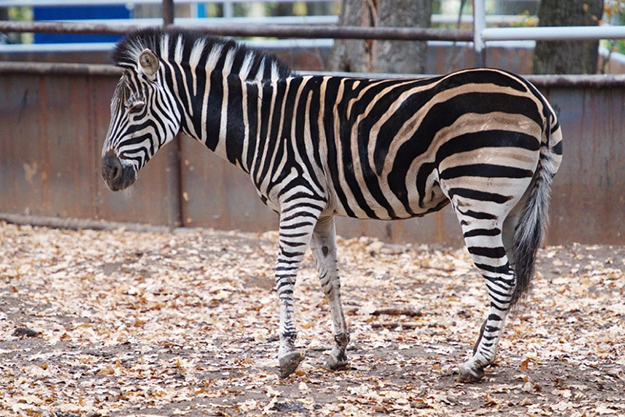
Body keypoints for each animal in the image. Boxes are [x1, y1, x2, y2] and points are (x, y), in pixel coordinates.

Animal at [101, 28, 560, 380]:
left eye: (136, 109)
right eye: (115, 108)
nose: (107, 172)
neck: (262, 123)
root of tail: (536, 97)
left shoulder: (298, 198)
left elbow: (283, 275)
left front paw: (287, 354)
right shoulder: (320, 210)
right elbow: (330, 279)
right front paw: (339, 351)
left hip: (476, 197)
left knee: (501, 279)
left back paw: (475, 363)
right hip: (509, 205)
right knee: (508, 279)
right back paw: (485, 352)